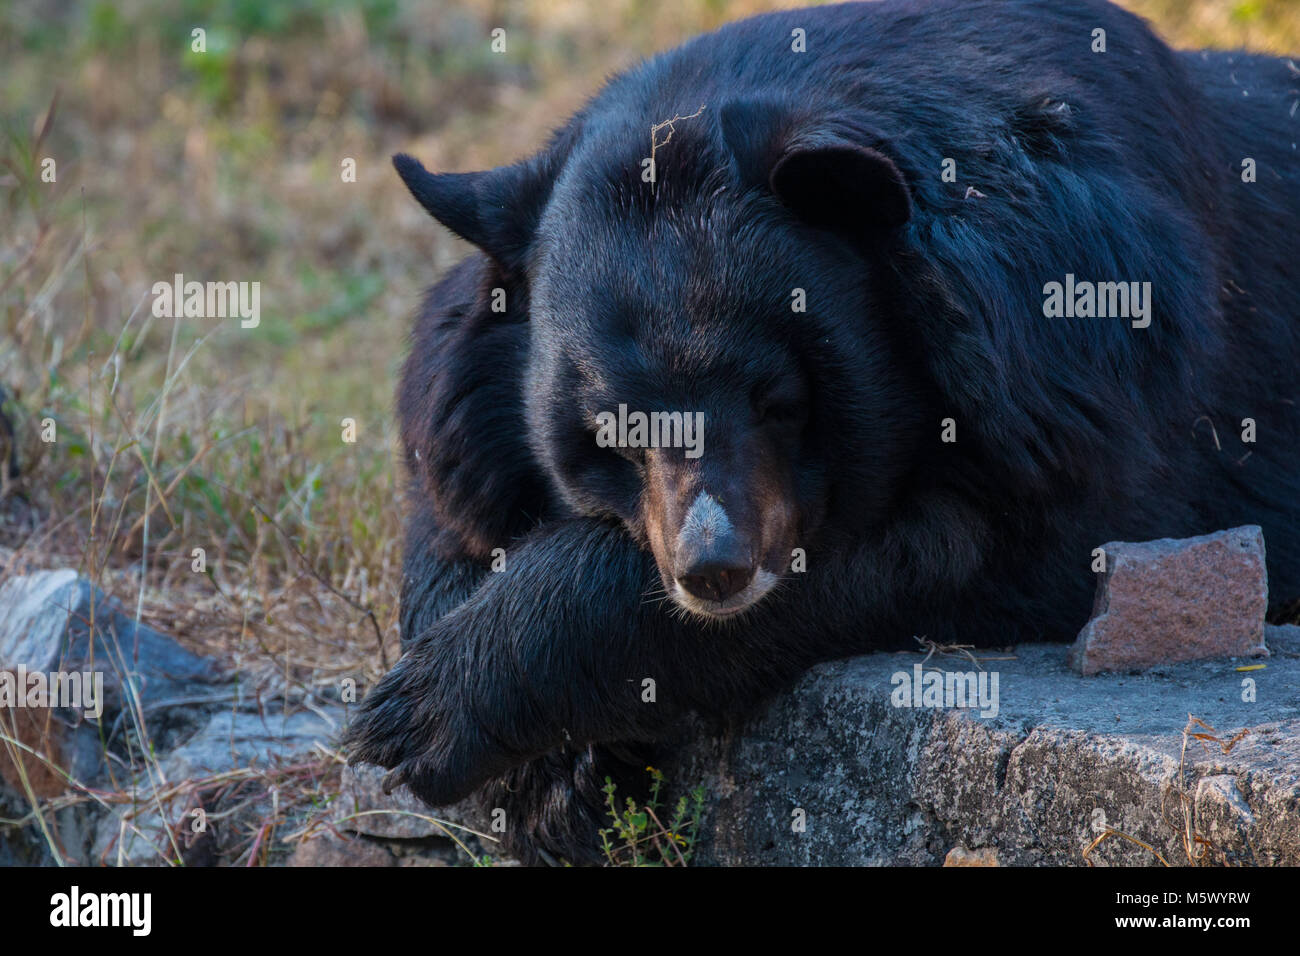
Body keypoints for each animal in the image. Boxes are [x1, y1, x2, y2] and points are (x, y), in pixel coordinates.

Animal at [345, 0, 1300, 868]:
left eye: (779, 399)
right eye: (612, 427)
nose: (714, 571)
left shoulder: (1069, 367)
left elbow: (976, 547)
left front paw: (422, 716)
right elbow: (455, 506)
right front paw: (547, 785)